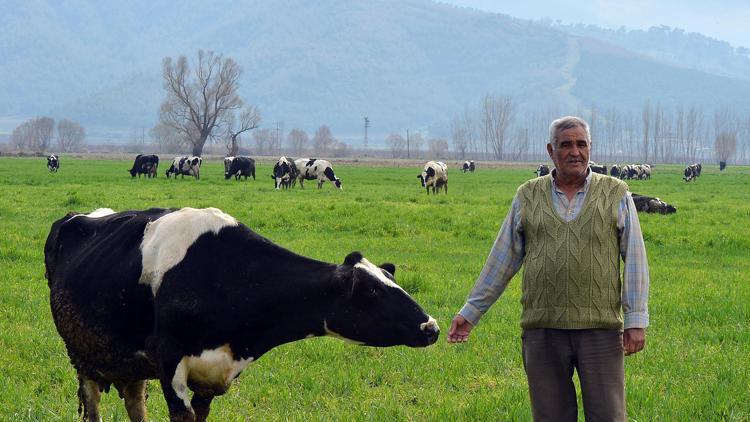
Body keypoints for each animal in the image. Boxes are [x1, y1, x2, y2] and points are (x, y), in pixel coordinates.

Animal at [44, 207, 440, 422]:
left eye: (392, 280)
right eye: (373, 291)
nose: (431, 326)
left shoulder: (212, 376)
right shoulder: (169, 361)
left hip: (129, 363)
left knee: (134, 402)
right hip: (81, 354)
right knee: (92, 404)